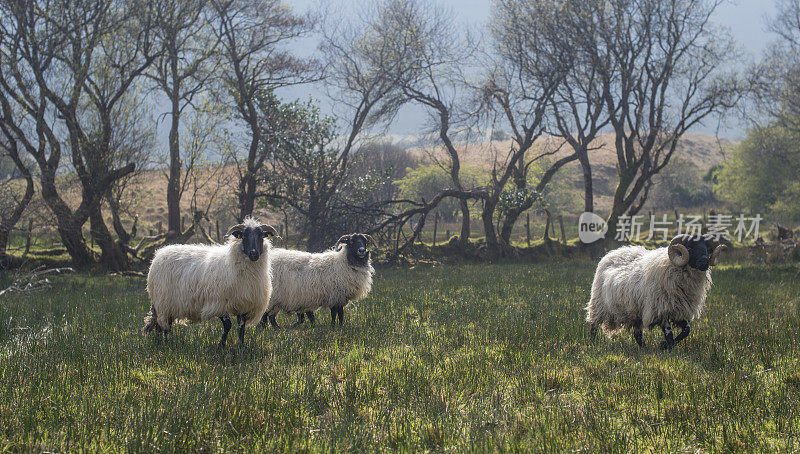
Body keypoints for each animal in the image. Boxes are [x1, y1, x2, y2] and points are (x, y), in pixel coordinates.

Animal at [143, 218, 278, 346]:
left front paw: (241, 346)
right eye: (244, 236)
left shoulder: (244, 305)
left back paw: (160, 341)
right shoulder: (219, 304)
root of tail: (159, 254)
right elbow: (228, 325)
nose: (254, 253)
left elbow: (241, 328)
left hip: (168, 303)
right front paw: (221, 345)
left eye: (262, 236)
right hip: (164, 302)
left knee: (160, 324)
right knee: (166, 324)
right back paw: (168, 342)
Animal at [584, 232, 728, 350]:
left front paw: (664, 346)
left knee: (637, 334)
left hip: (635, 312)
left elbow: (687, 330)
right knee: (593, 326)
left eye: (708, 249)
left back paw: (644, 349)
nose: (704, 262)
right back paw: (593, 344)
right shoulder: (660, 309)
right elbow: (669, 334)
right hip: (598, 304)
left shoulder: (678, 310)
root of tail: (613, 252)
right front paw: (667, 348)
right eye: (690, 248)